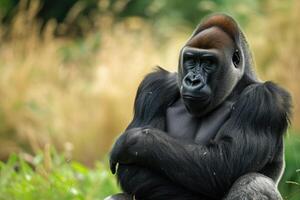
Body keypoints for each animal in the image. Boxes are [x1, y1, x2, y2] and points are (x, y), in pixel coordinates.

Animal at [105, 14, 290, 200]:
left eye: (208, 62)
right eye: (191, 60)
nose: (193, 80)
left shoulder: (264, 98)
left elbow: (225, 163)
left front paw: (132, 142)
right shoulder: (155, 85)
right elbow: (134, 172)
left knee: (254, 181)